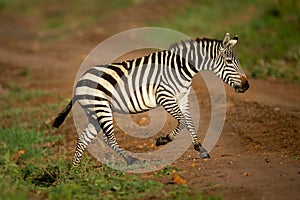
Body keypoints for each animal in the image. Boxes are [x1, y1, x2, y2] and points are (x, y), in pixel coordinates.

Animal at [53, 33, 248, 167]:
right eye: (229, 61)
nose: (246, 86)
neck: (180, 68)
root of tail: (80, 80)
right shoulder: (165, 96)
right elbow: (183, 122)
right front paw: (166, 140)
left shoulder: (182, 98)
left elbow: (189, 122)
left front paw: (198, 148)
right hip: (102, 108)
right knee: (109, 139)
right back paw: (131, 160)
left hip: (94, 112)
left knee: (84, 139)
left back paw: (74, 172)